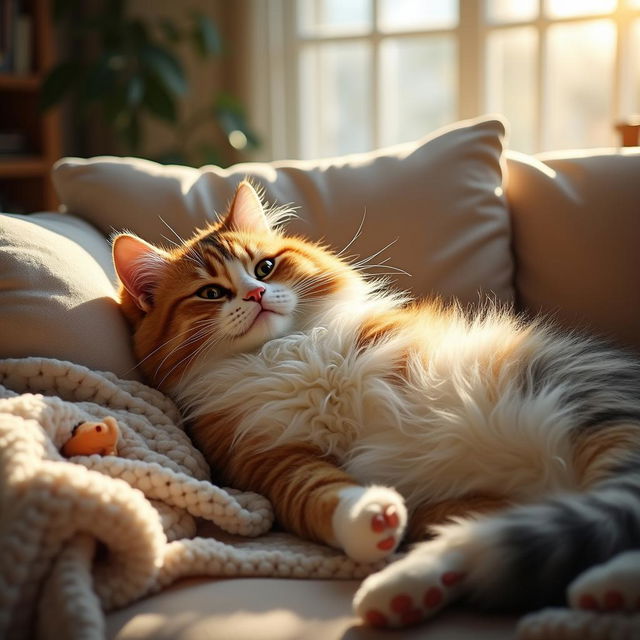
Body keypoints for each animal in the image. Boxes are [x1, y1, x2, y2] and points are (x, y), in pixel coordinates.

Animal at [112, 181, 640, 632]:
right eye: (211, 292)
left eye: (264, 268)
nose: (257, 294)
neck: (275, 351)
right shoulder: (268, 458)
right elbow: (326, 495)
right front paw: (375, 518)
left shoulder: (395, 342)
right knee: (494, 541)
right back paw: (406, 593)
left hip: (599, 418)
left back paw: (604, 589)